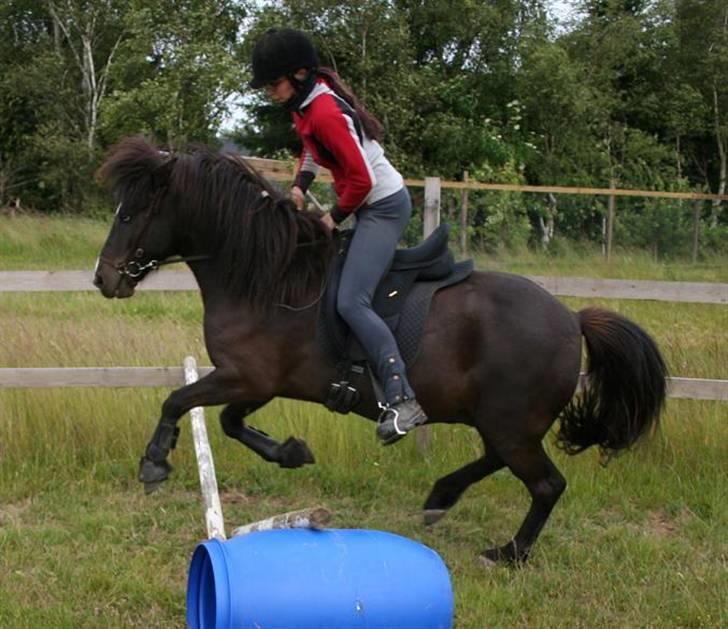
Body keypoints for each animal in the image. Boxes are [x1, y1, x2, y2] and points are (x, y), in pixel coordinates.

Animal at [94, 136, 668, 564]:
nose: (103, 278)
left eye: (129, 215)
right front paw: (292, 453)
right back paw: (440, 499)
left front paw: (154, 463)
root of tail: (572, 319)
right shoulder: (260, 383)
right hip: (500, 420)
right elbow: (230, 422)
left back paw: (509, 552)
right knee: (496, 460)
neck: (269, 277)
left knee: (546, 484)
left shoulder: (247, 376)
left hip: (510, 422)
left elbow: (178, 400)